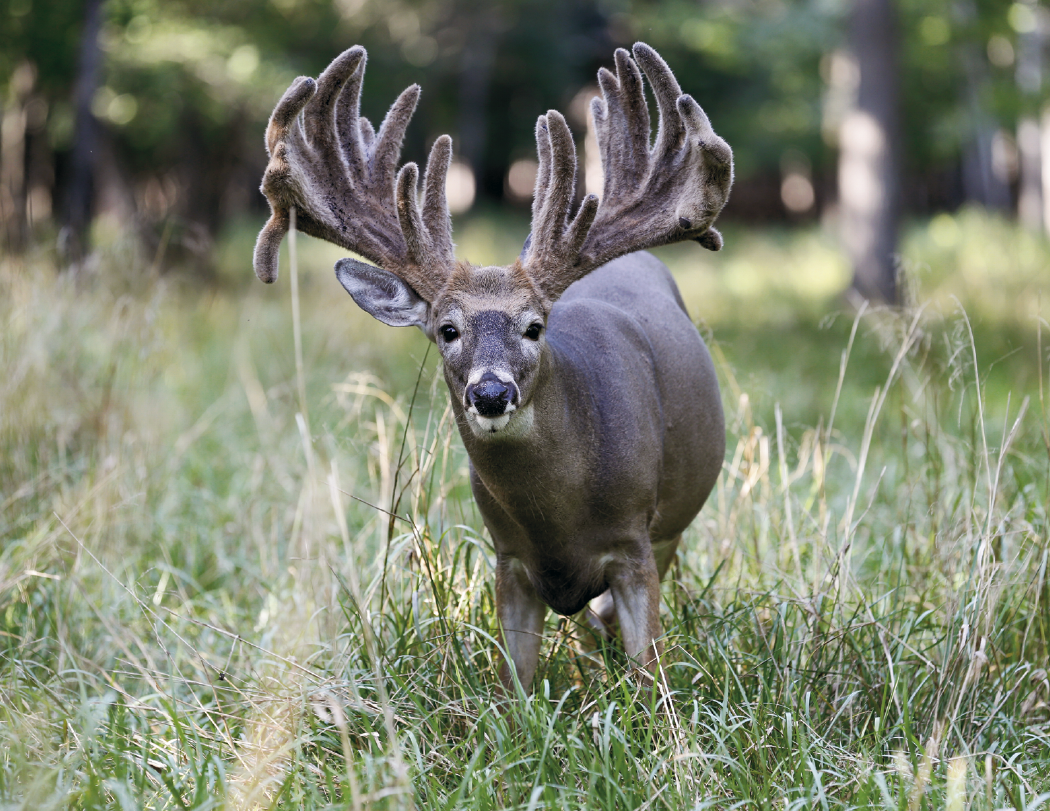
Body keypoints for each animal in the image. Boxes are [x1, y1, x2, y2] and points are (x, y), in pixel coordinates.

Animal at [252, 42, 732, 694]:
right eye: (446, 330)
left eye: (534, 327)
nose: (490, 393)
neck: (561, 517)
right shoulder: (508, 557)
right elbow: (514, 686)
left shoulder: (634, 542)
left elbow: (648, 674)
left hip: (672, 528)